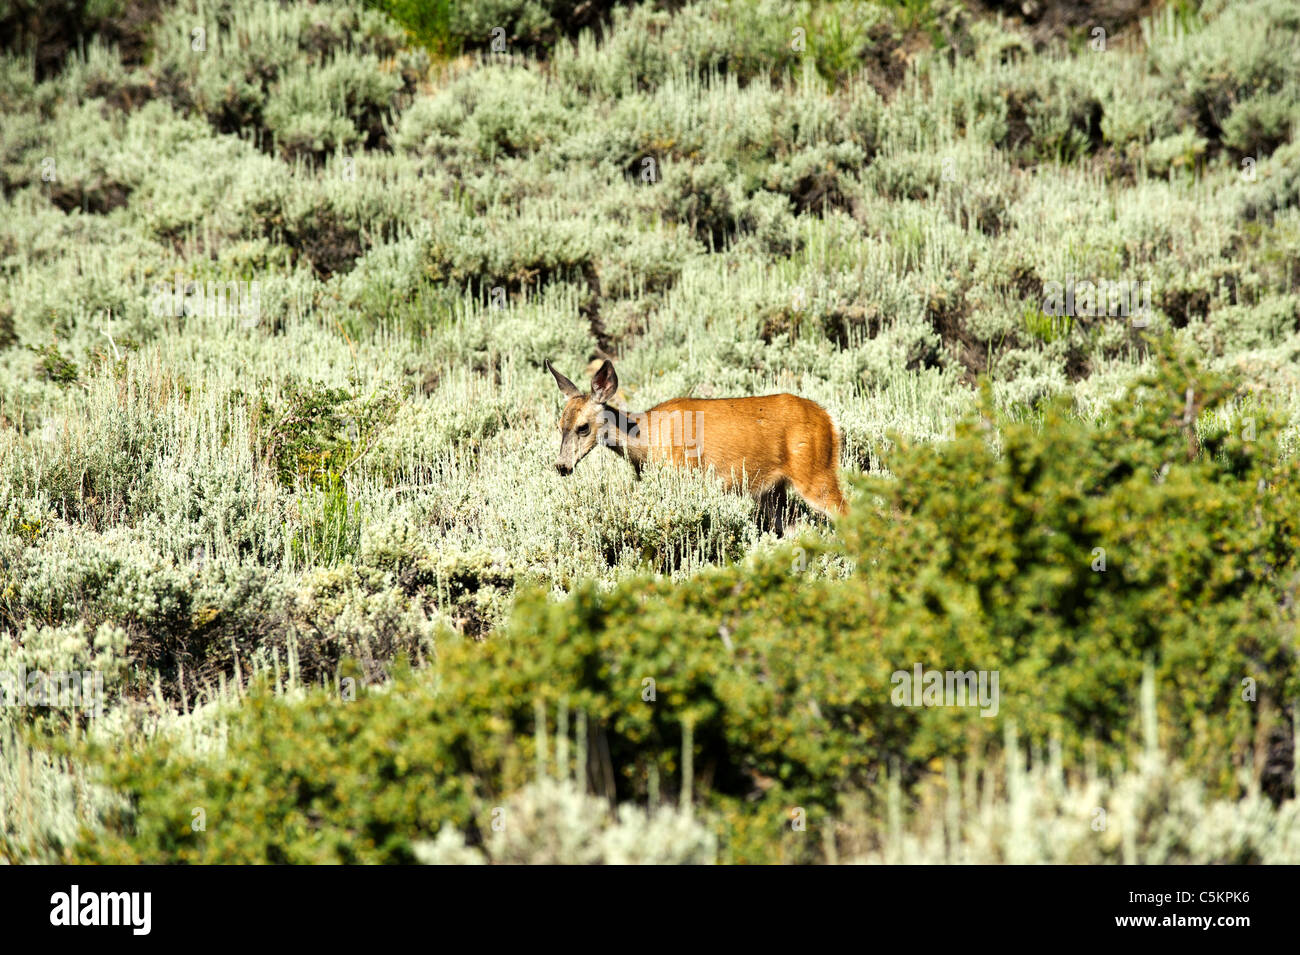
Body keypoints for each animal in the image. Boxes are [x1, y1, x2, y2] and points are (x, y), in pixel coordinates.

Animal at [543, 356, 847, 530]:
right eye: (559, 425)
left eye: (583, 427)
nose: (561, 466)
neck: (647, 438)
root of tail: (829, 420)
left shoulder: (683, 474)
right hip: (774, 491)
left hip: (815, 472)